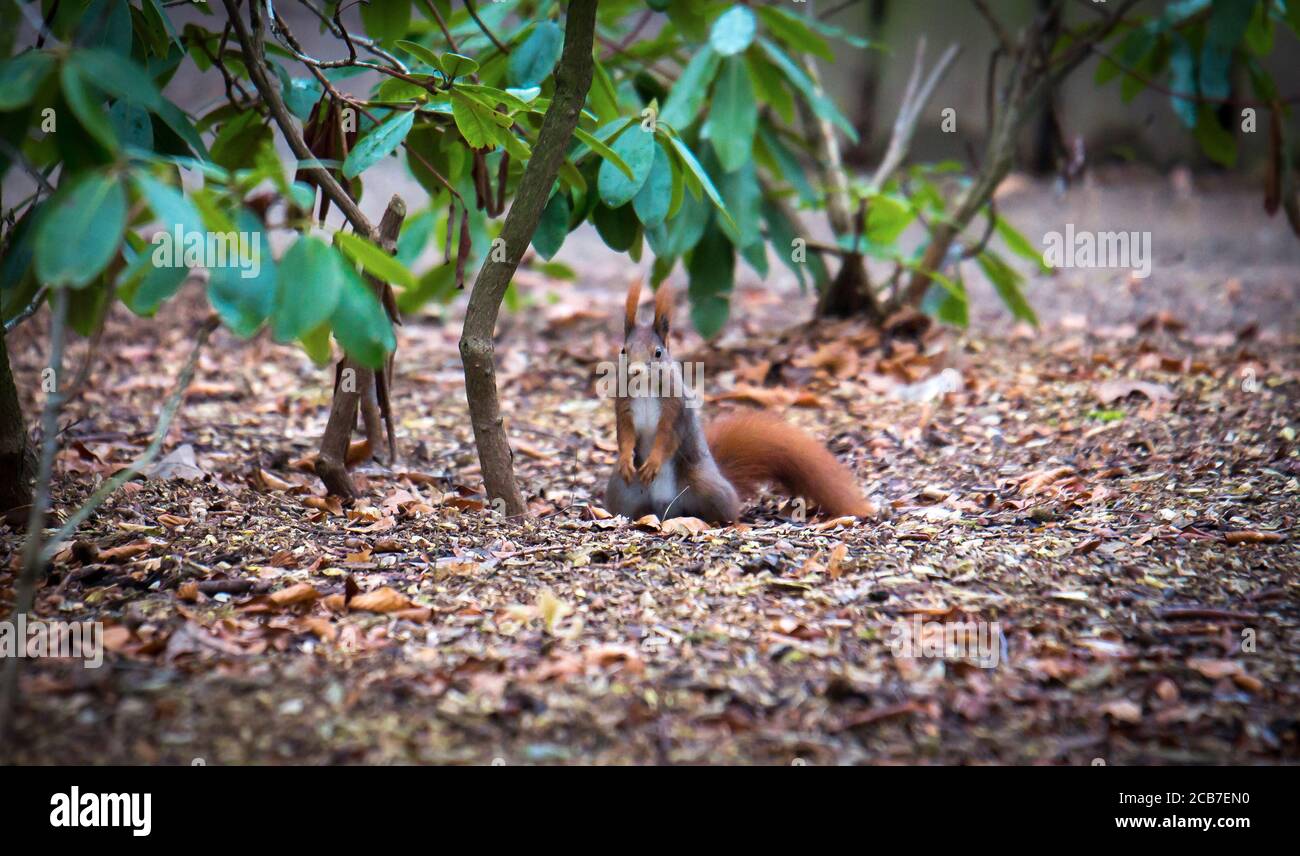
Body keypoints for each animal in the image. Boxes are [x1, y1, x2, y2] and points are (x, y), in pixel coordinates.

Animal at [603, 281, 876, 524]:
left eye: (658, 353)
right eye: (623, 350)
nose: (635, 371)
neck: (645, 387)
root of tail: (668, 509)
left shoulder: (675, 409)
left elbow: (667, 437)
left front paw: (653, 462)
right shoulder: (623, 406)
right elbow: (625, 435)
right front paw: (626, 460)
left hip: (708, 486)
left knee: (727, 512)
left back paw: (730, 523)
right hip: (622, 492)